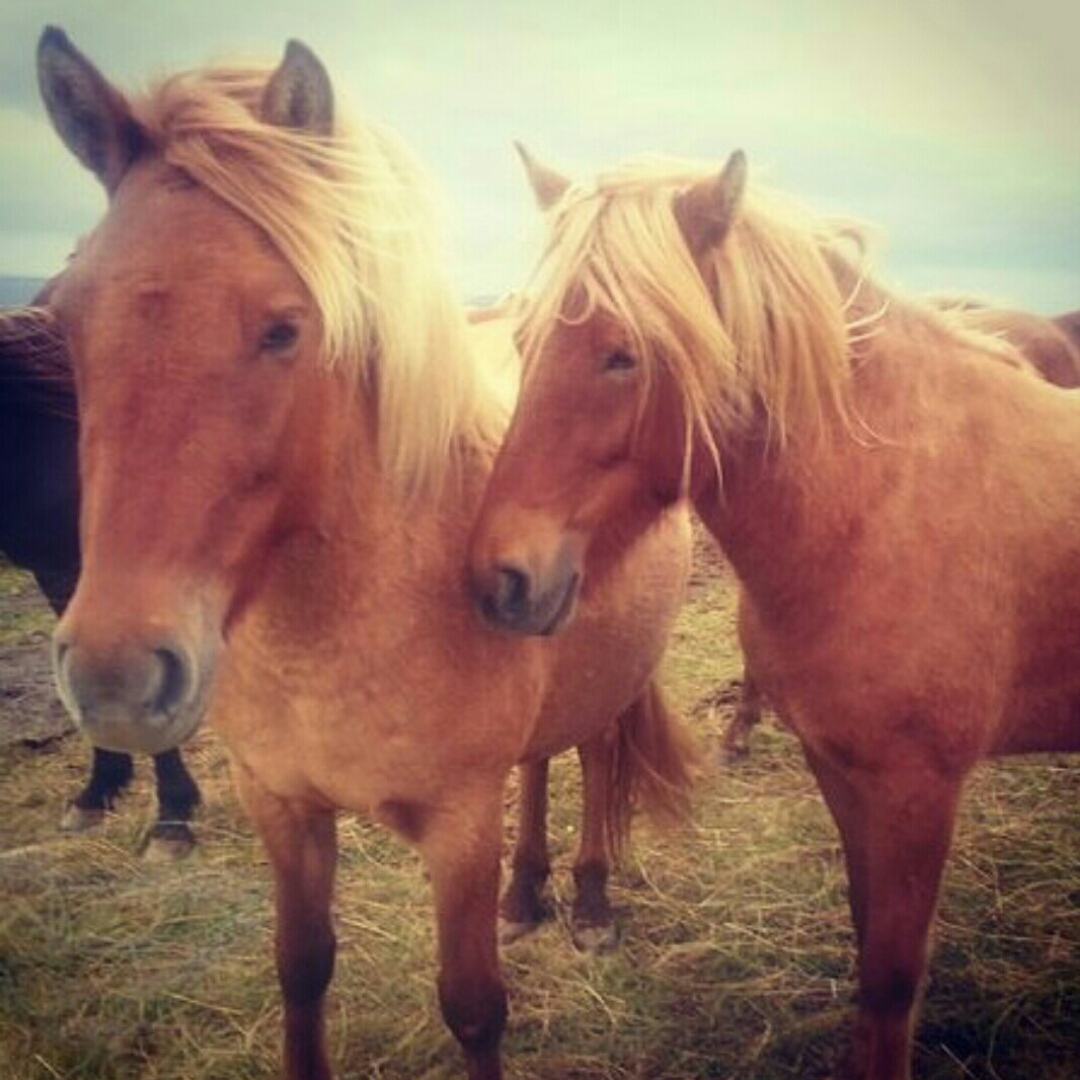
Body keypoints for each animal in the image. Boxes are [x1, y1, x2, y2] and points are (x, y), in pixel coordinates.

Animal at [35, 27, 699, 1080]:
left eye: (284, 328)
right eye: (65, 319)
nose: (115, 676)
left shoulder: (457, 829)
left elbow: (472, 1007)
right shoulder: (282, 807)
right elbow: (301, 967)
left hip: (614, 670)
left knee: (595, 759)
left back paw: (590, 903)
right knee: (543, 763)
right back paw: (528, 895)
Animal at [468, 145, 1080, 1080]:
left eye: (624, 356)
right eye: (523, 342)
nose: (498, 577)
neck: (885, 504)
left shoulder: (919, 791)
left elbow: (892, 982)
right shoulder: (843, 771)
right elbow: (868, 952)